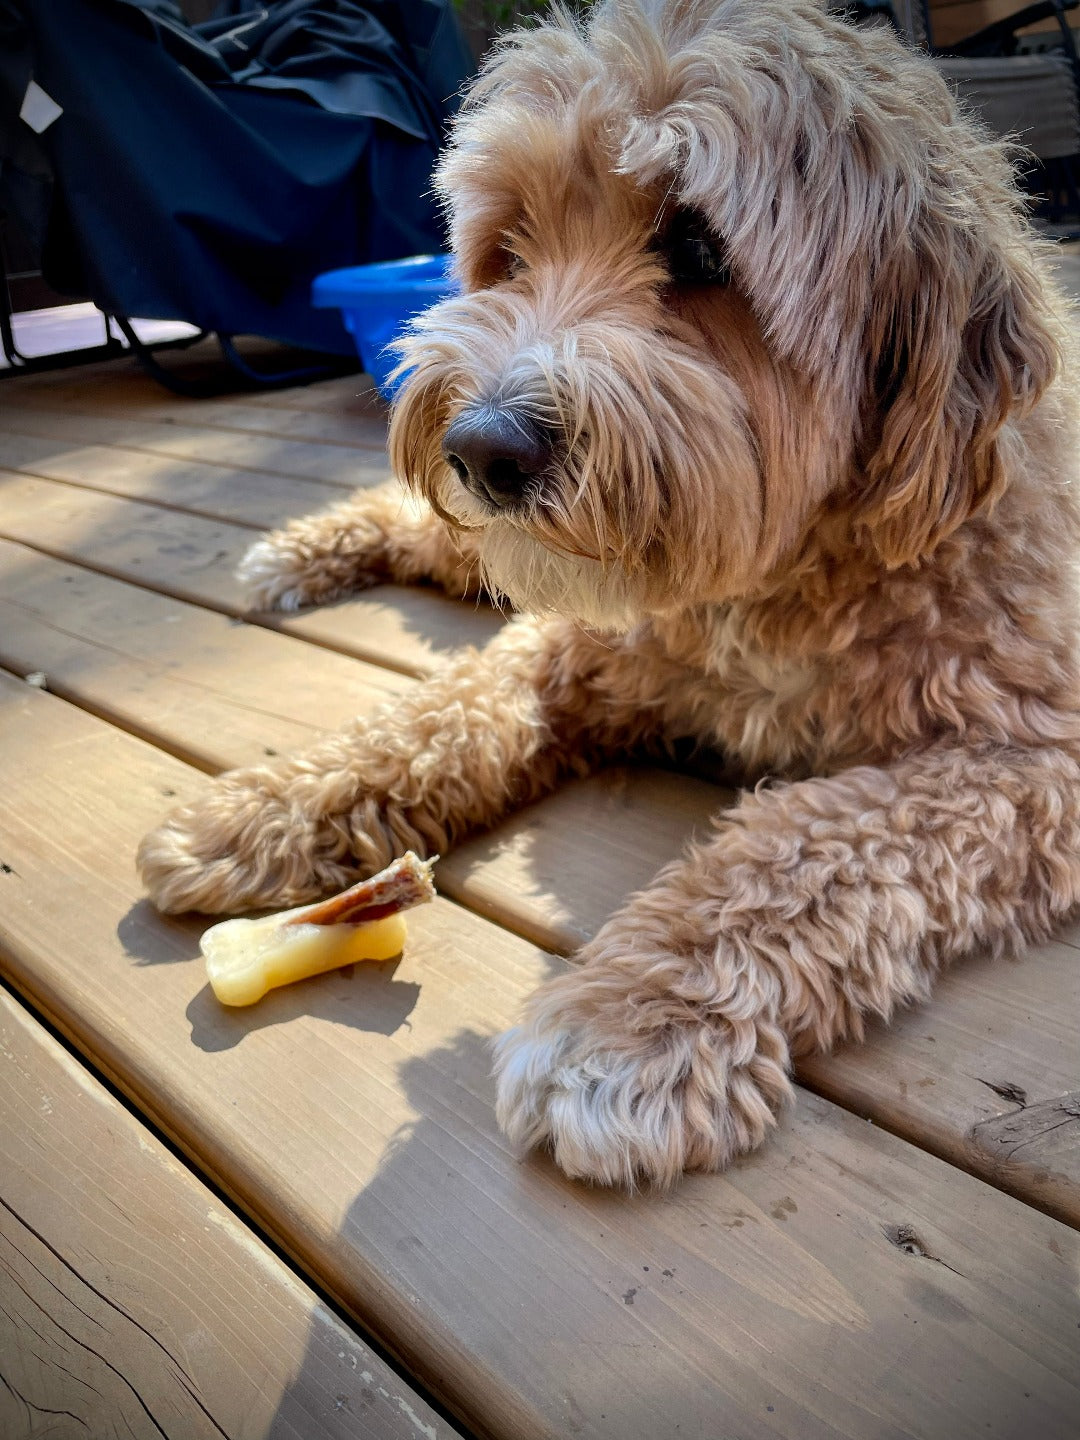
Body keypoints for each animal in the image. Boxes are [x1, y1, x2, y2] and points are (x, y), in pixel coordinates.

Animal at [139, 0, 1080, 1186]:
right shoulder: (581, 645)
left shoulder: (1028, 758)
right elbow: (440, 716)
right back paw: (303, 553)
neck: (771, 584)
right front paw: (264, 808)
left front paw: (630, 1018)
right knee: (417, 527)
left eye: (699, 245)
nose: (481, 447)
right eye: (508, 248)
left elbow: (801, 846)